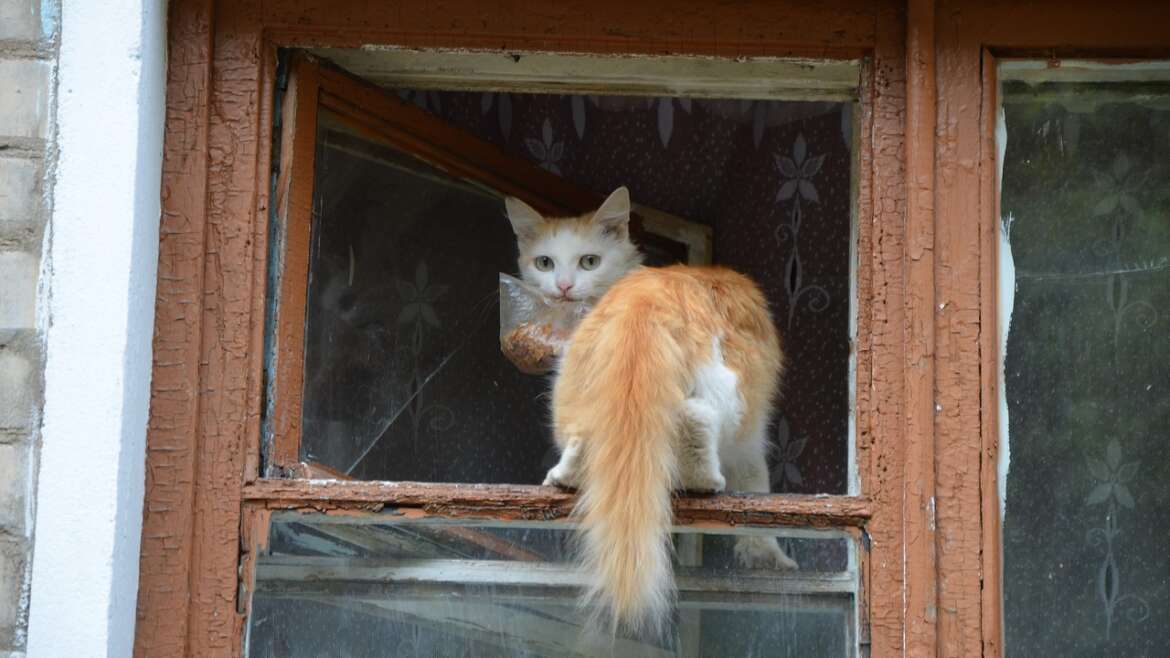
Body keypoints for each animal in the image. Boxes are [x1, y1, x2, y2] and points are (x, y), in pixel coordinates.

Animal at [503, 184, 795, 636]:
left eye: (589, 261)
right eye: (545, 262)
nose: (564, 286)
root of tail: (650, 294)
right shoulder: (754, 440)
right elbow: (757, 483)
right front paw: (767, 557)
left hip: (569, 382)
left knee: (582, 437)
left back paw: (566, 475)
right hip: (732, 393)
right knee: (701, 419)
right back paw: (703, 478)